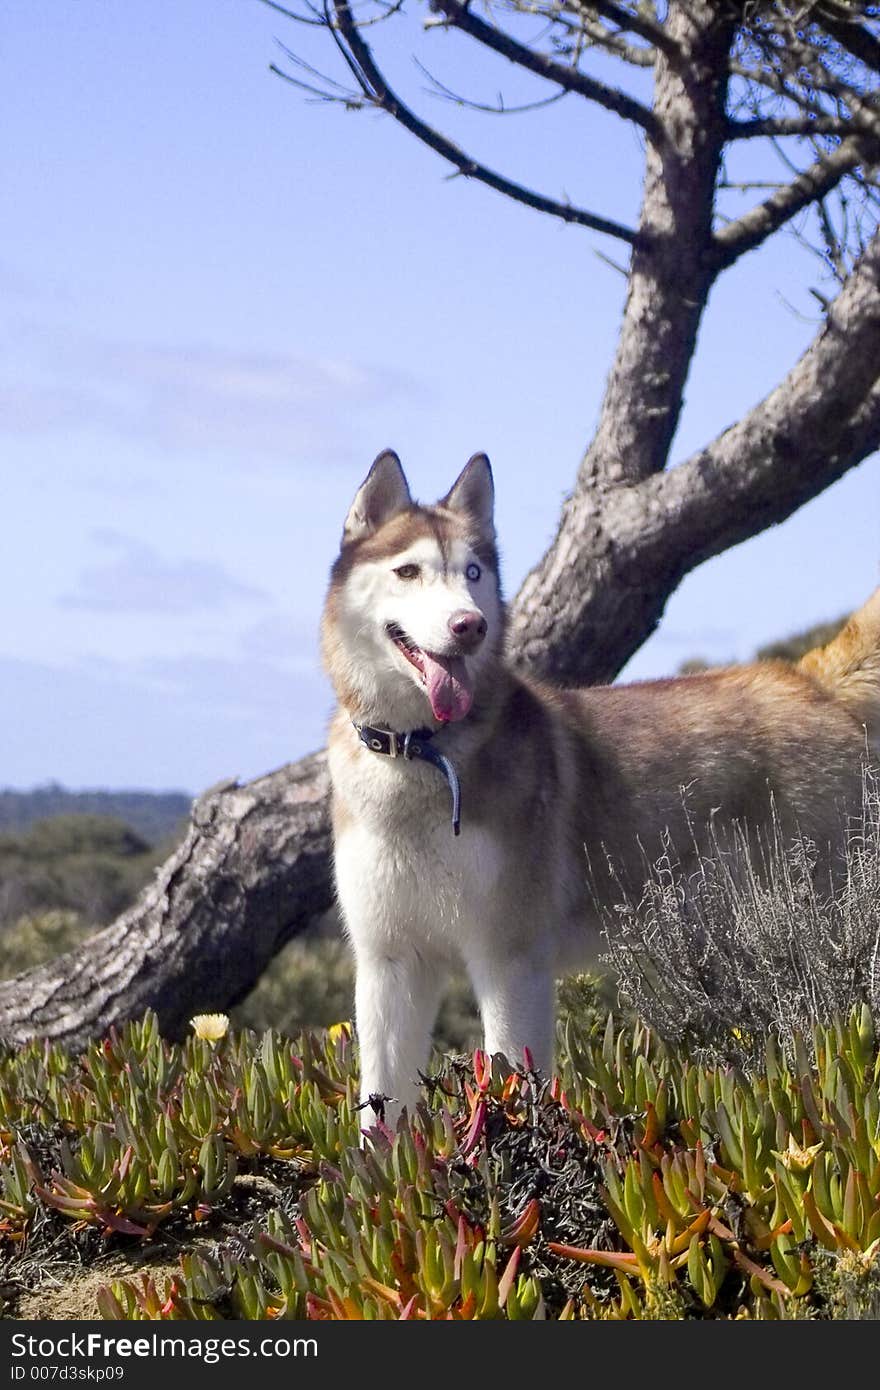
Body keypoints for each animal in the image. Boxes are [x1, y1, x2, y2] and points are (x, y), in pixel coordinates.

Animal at [323, 450, 878, 1123]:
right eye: (408, 571)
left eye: (473, 572)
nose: (469, 625)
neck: (420, 754)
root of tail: (809, 680)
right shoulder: (391, 965)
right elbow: (380, 1116)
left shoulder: (509, 961)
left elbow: (509, 1083)